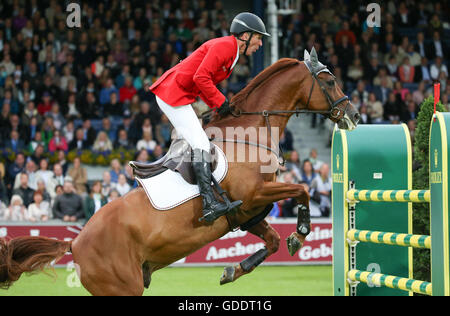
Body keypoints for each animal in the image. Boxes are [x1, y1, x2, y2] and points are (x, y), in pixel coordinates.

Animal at [0, 50, 358, 296]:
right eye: (329, 80)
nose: (353, 115)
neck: (250, 134)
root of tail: (75, 242)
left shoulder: (248, 212)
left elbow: (272, 241)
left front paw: (233, 270)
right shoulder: (254, 195)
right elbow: (303, 190)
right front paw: (300, 231)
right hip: (123, 287)